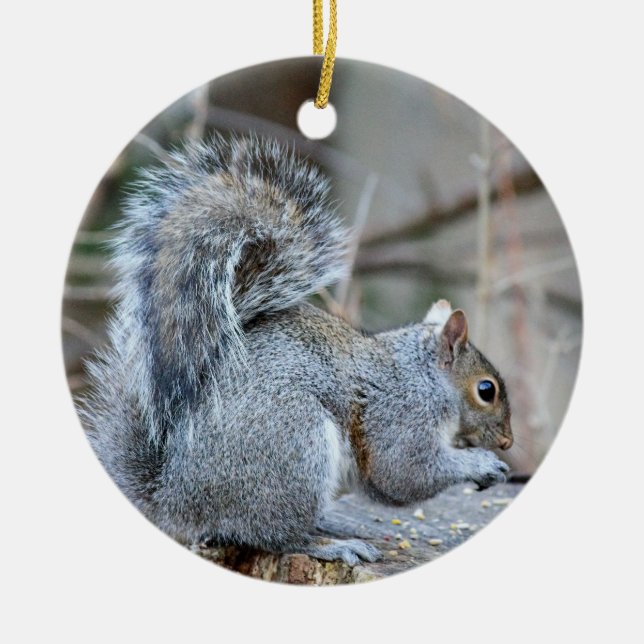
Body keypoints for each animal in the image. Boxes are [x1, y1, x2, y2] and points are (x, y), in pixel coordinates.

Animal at [81, 134, 513, 566]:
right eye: (486, 390)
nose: (508, 442)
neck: (425, 375)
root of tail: (175, 497)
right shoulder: (402, 414)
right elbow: (404, 472)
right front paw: (481, 464)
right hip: (294, 445)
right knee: (274, 535)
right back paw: (331, 545)